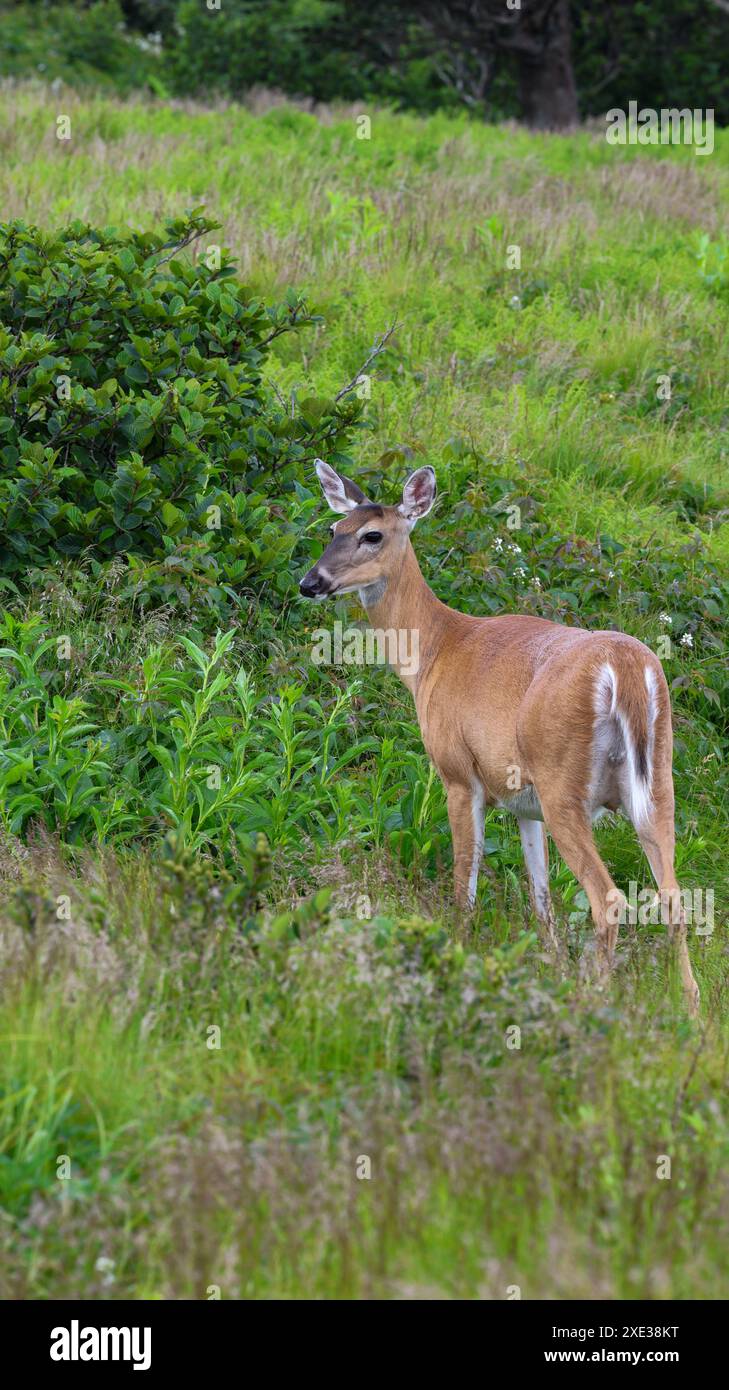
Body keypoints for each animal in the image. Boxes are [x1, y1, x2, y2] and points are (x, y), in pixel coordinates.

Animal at [297, 461, 701, 1017]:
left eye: (372, 535)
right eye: (333, 528)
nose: (310, 582)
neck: (433, 653)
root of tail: (625, 669)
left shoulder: (458, 773)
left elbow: (464, 884)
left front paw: (454, 953)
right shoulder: (521, 799)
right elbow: (541, 897)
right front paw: (552, 963)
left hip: (563, 782)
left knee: (611, 899)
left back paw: (596, 1001)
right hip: (658, 781)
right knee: (674, 897)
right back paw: (691, 1012)